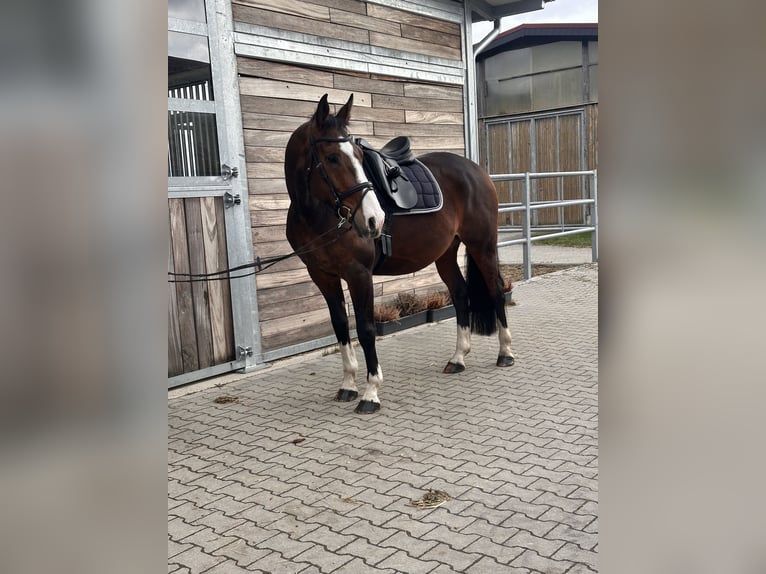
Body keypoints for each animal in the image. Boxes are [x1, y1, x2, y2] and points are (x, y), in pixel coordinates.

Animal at [284, 94, 514, 414]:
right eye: (331, 158)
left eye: (359, 155)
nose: (374, 220)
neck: (319, 214)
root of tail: (475, 169)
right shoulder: (323, 275)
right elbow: (340, 326)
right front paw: (348, 386)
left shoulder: (358, 274)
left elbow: (366, 329)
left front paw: (370, 393)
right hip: (445, 253)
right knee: (460, 294)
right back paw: (457, 358)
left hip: (483, 245)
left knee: (495, 289)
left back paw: (505, 353)